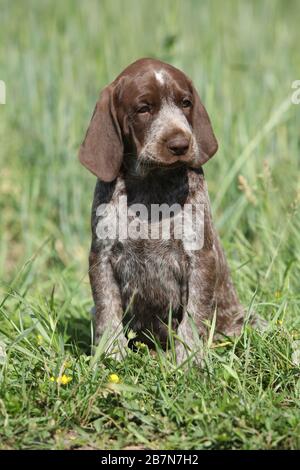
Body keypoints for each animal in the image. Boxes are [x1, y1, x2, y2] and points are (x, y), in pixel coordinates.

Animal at [79, 57, 251, 364]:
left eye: (185, 103)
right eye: (143, 108)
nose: (181, 144)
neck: (151, 186)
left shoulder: (199, 258)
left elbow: (193, 317)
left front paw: (188, 361)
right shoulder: (102, 256)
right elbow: (107, 311)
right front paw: (110, 356)